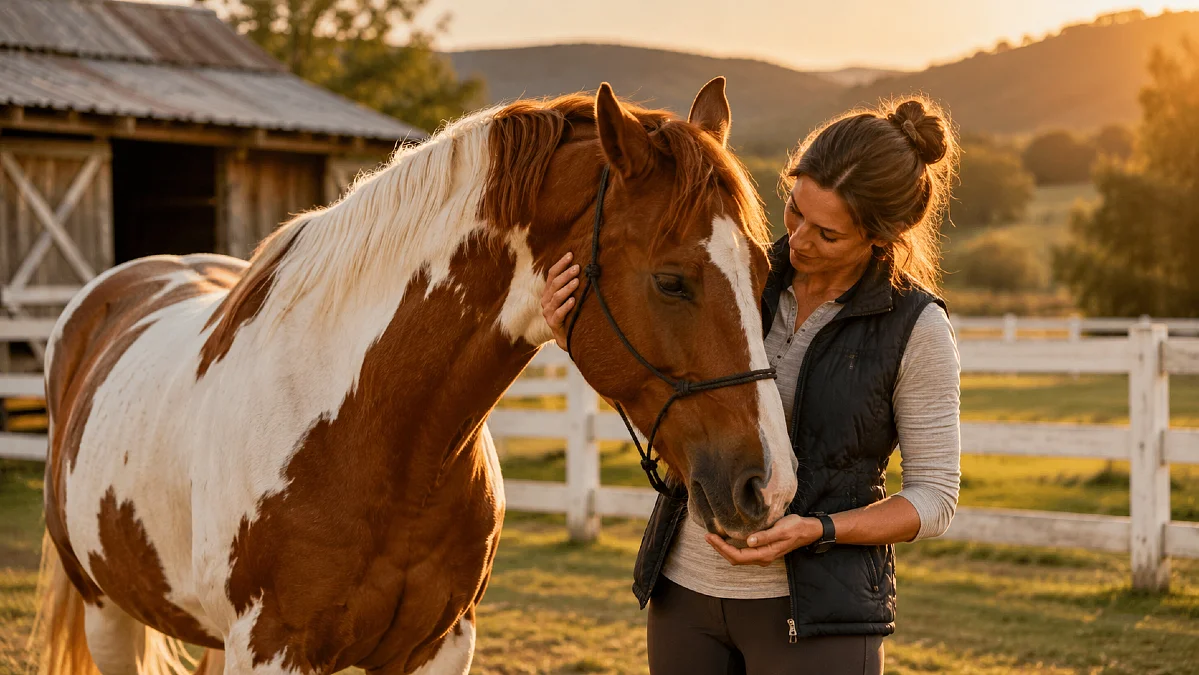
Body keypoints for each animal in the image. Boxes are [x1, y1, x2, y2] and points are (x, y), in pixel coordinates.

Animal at [34, 78, 796, 675]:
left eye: (765, 270)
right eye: (671, 281)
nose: (771, 484)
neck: (373, 436)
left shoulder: (437, 644)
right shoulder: (271, 648)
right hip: (108, 613)